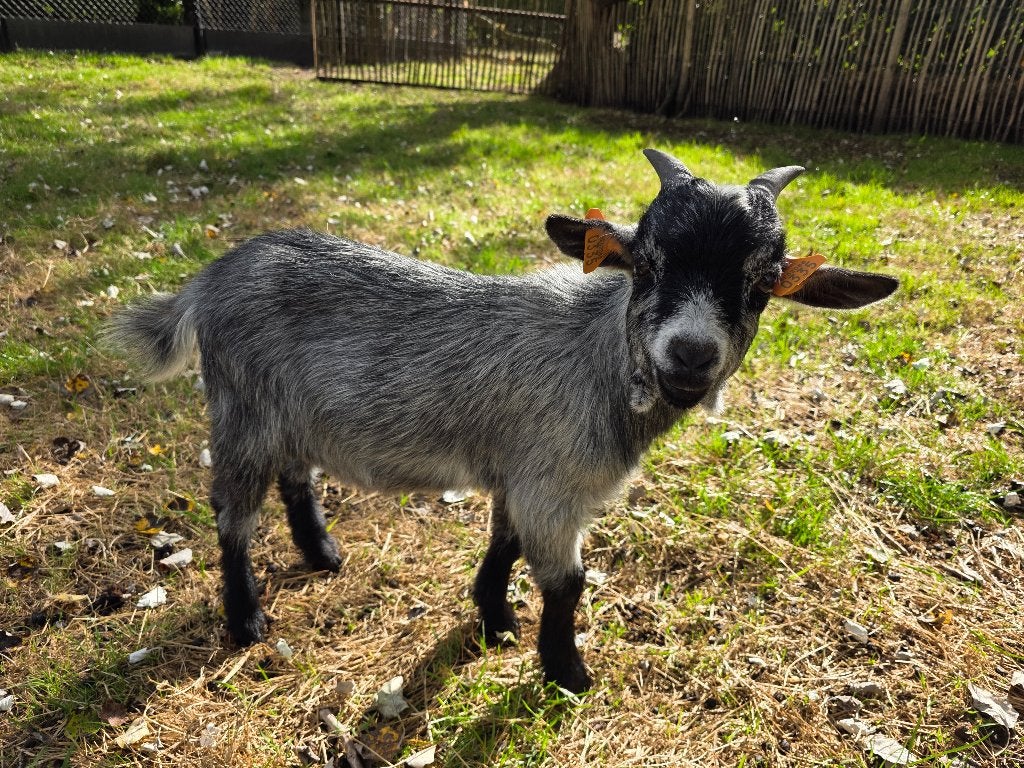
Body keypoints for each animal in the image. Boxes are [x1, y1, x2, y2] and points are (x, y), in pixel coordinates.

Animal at [108, 149, 897, 693]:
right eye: (645, 263)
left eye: (762, 284)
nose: (691, 354)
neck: (600, 359)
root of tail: (210, 278)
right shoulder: (553, 482)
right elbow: (566, 582)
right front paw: (565, 670)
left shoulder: (523, 473)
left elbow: (505, 543)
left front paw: (493, 619)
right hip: (240, 409)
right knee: (232, 513)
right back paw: (245, 619)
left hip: (289, 410)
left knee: (295, 475)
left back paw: (321, 552)